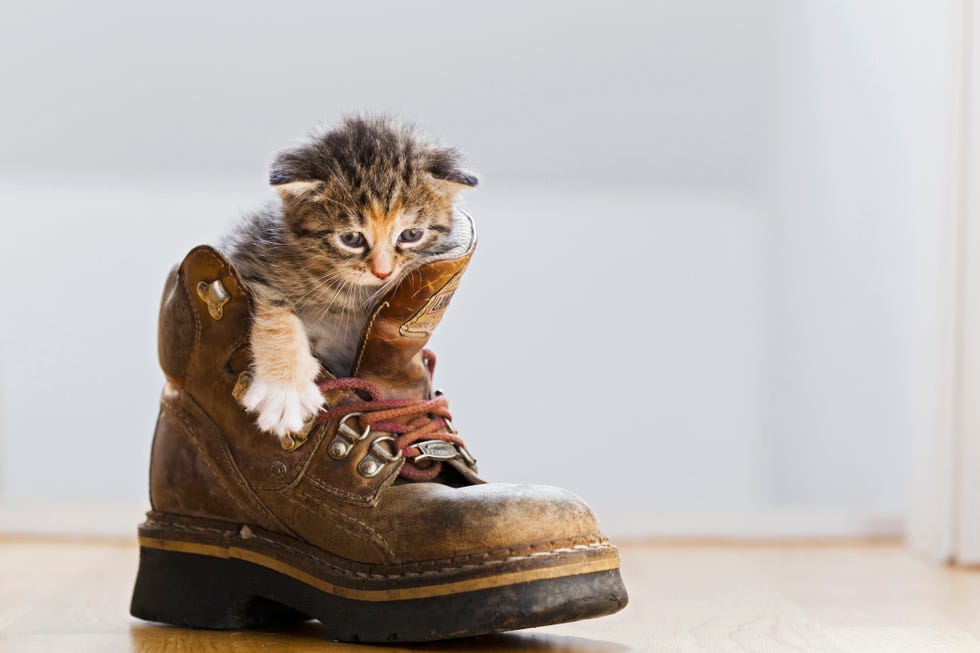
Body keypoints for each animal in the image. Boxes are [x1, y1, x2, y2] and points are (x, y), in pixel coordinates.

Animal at [223, 118, 482, 444]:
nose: (383, 272)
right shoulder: (249, 259)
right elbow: (276, 314)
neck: (352, 296)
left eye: (411, 235)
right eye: (351, 239)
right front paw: (283, 393)